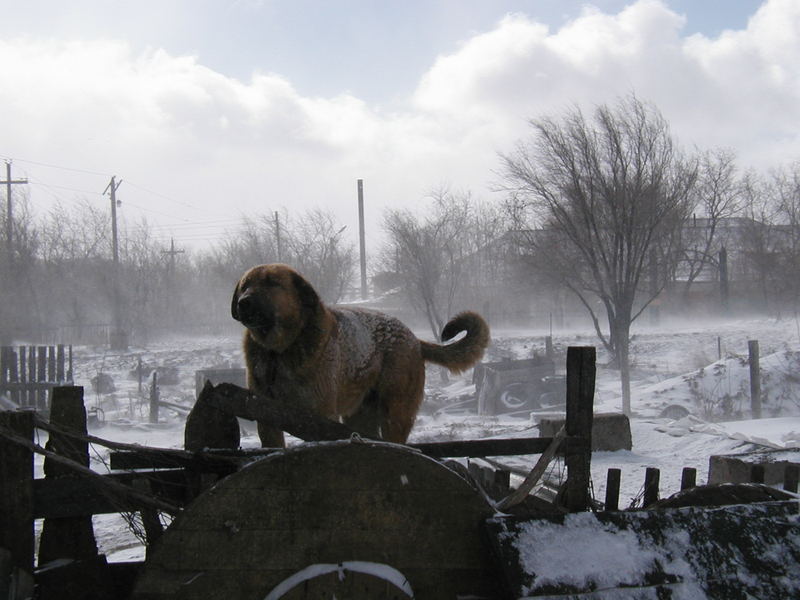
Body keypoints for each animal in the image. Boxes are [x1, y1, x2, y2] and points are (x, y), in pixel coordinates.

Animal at [231, 264, 490, 446]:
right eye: (244, 285)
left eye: (272, 283)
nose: (244, 302)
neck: (280, 349)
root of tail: (414, 339)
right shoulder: (266, 415)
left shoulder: (318, 415)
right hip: (359, 415)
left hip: (395, 411)